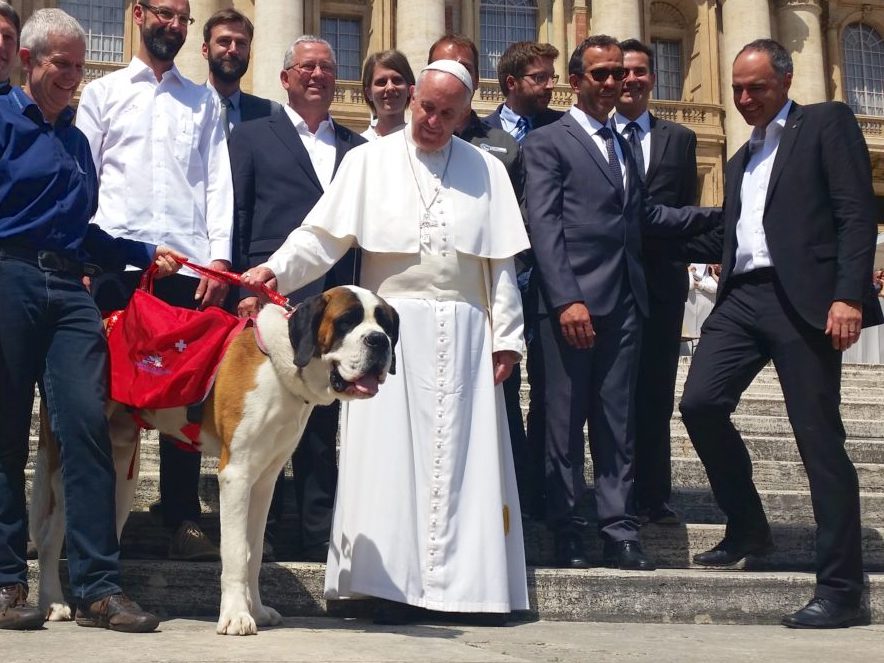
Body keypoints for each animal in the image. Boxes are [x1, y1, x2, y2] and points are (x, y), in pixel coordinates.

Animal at [28, 286, 400, 640]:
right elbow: (234, 552)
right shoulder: (236, 475)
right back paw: (54, 602)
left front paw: (257, 610)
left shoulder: (263, 482)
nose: (379, 341)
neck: (284, 364)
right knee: (50, 537)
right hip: (65, 462)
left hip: (122, 469)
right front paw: (236, 617)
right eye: (347, 321)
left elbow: (252, 552)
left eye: (385, 323)